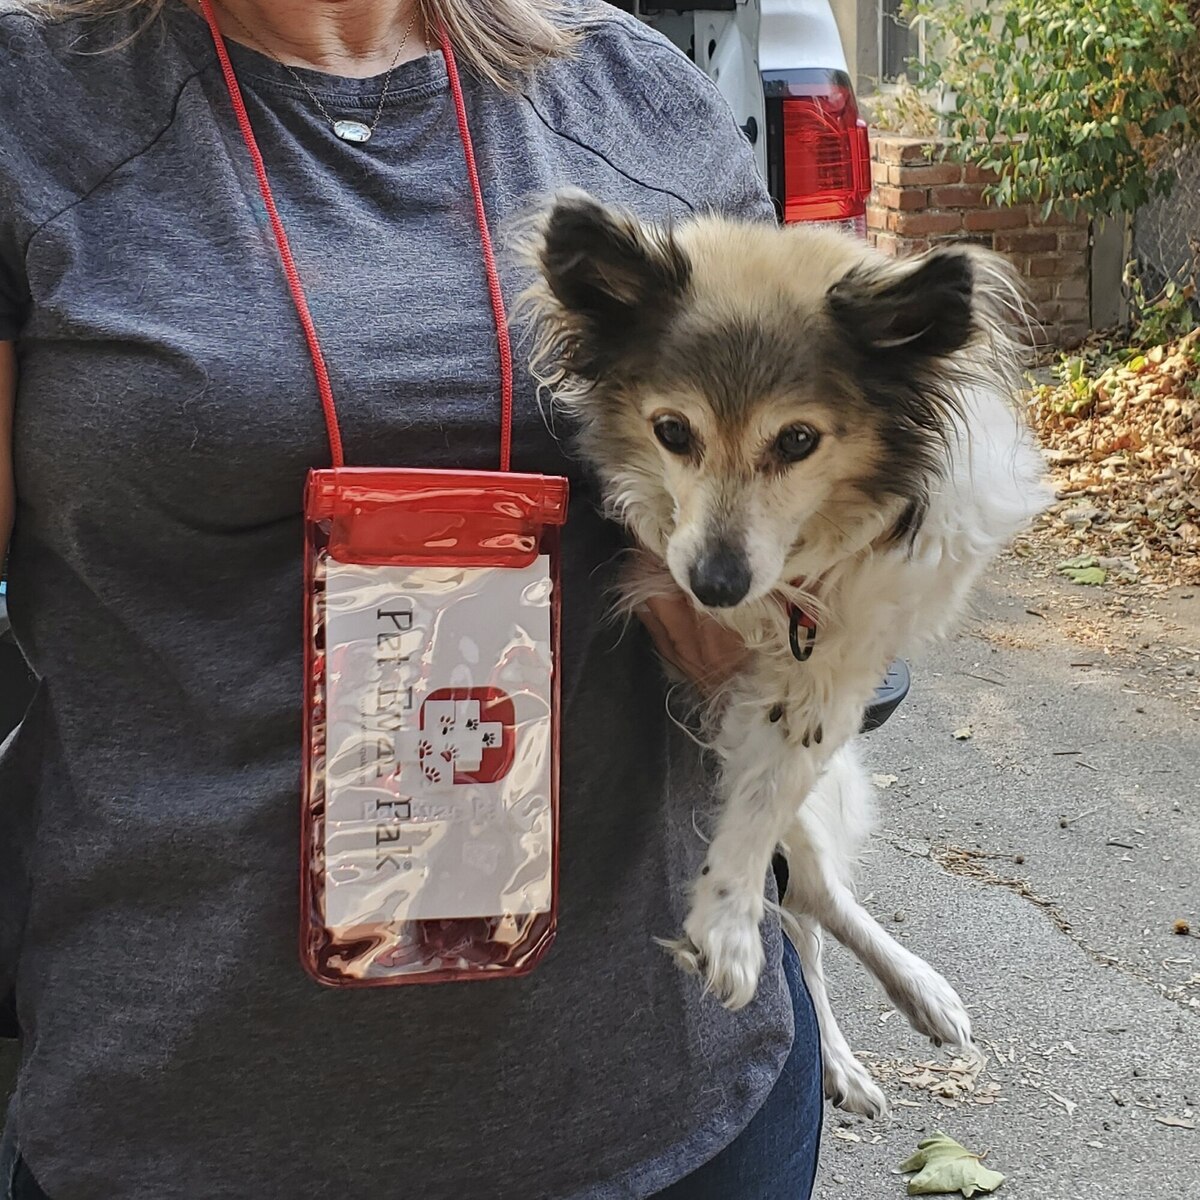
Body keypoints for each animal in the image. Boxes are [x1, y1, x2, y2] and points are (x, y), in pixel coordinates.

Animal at [521, 192, 1049, 1117]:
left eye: (799, 441)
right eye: (672, 431)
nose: (715, 583)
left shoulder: (832, 678)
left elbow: (764, 807)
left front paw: (726, 921)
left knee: (813, 900)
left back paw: (904, 1001)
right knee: (804, 903)